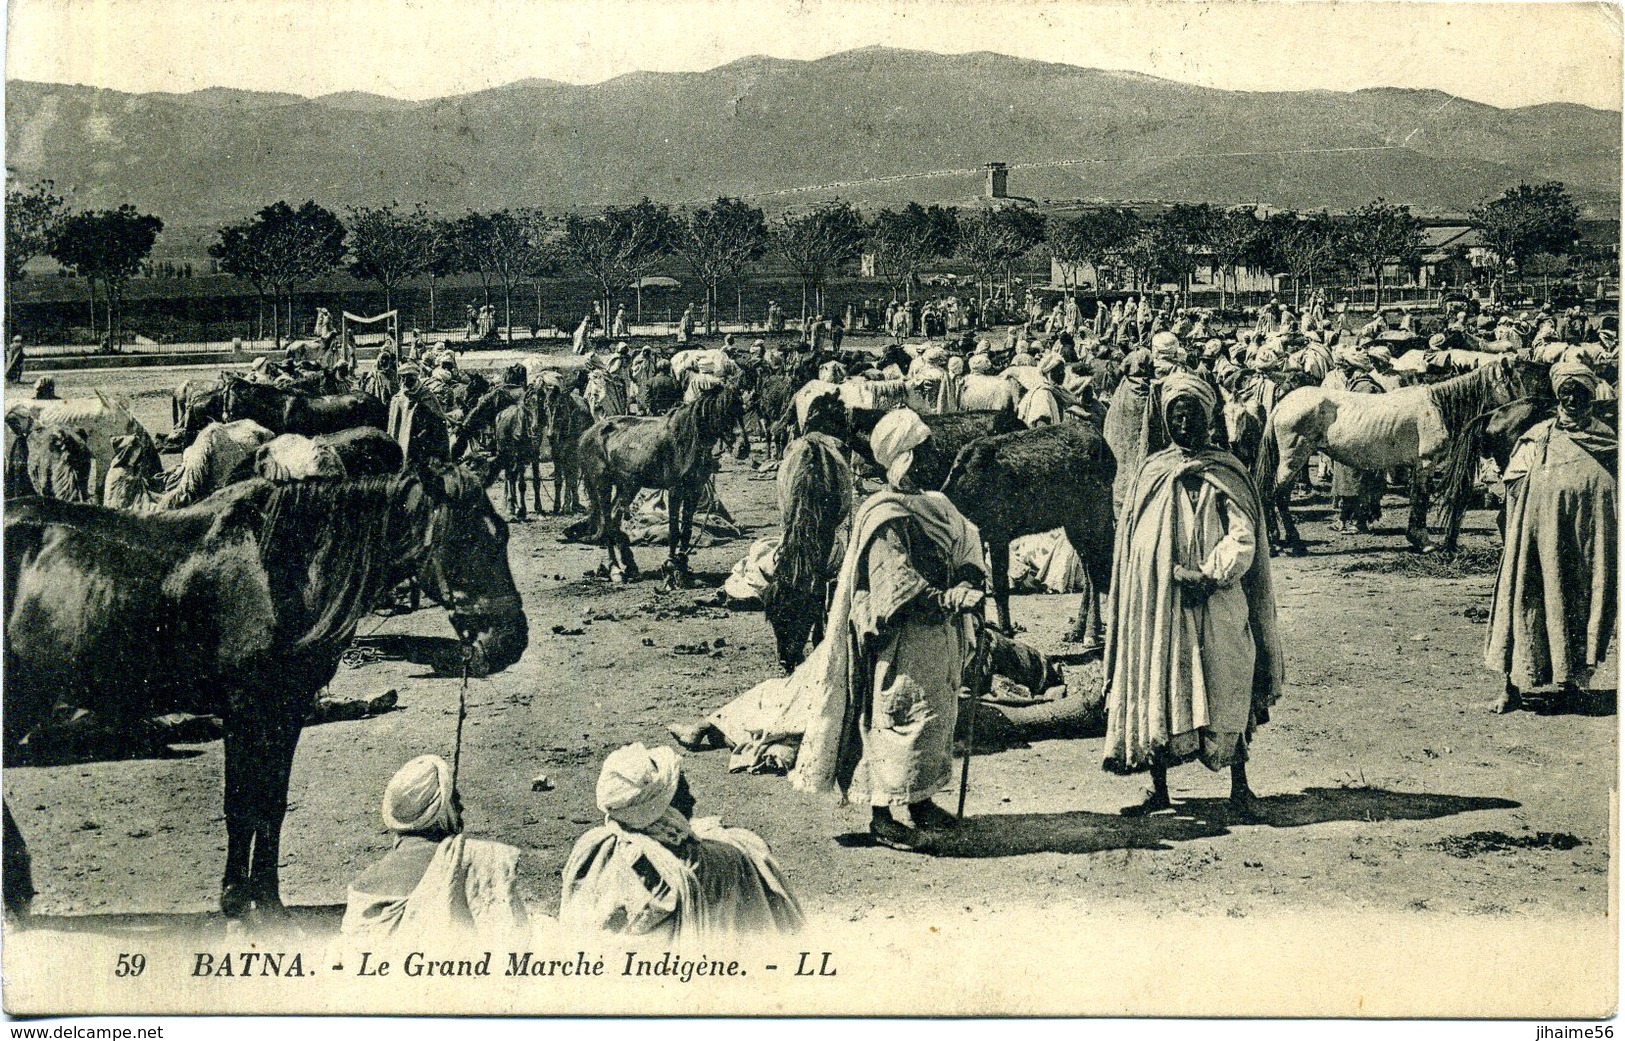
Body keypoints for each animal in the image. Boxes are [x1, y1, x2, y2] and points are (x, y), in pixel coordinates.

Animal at [3, 461, 523, 915]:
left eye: (502, 534)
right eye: (466, 537)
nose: (511, 641)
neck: (278, 572)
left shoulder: (286, 711)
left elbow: (270, 804)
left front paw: (267, 899)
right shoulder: (244, 709)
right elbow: (240, 804)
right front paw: (234, 896)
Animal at [575, 383, 744, 584]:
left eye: (742, 410)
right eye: (725, 412)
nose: (743, 447)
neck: (686, 440)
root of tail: (588, 433)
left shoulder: (693, 491)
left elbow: (686, 531)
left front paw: (682, 569)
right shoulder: (675, 490)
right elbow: (673, 531)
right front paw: (671, 567)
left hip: (629, 485)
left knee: (615, 518)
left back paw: (629, 565)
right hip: (603, 485)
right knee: (607, 522)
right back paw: (615, 569)